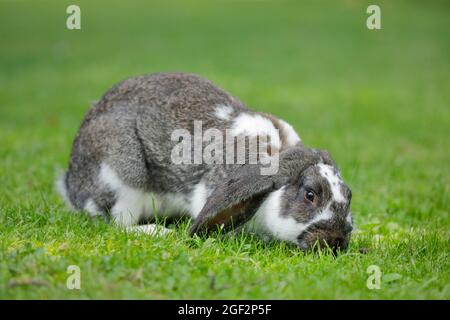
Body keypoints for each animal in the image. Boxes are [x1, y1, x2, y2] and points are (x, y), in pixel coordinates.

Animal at [57, 72, 352, 252]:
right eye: (310, 195)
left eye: (349, 196)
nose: (335, 240)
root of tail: (72, 185)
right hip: (122, 176)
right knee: (119, 223)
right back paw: (158, 231)